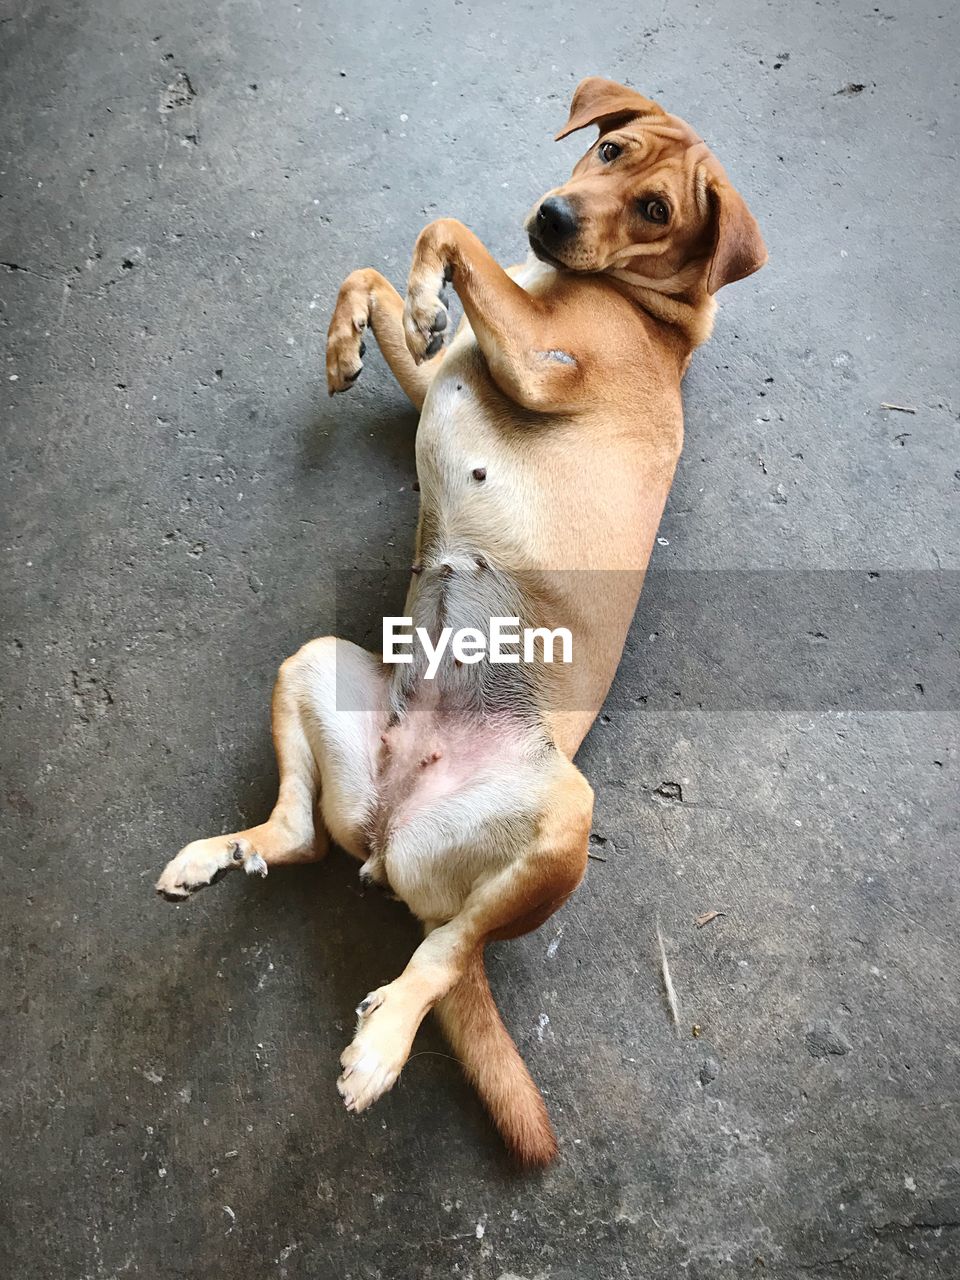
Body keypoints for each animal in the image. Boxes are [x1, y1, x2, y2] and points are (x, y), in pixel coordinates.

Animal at [156, 74, 768, 1167]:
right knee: (302, 837)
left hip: (561, 822)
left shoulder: (544, 369)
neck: (637, 303)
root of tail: (396, 829)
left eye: (658, 209)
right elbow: (381, 286)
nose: (554, 216)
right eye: (612, 152)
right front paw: (364, 331)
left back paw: (385, 1042)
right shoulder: (460, 366)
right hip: (313, 666)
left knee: (446, 949)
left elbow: (447, 226)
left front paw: (426, 280)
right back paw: (223, 852)